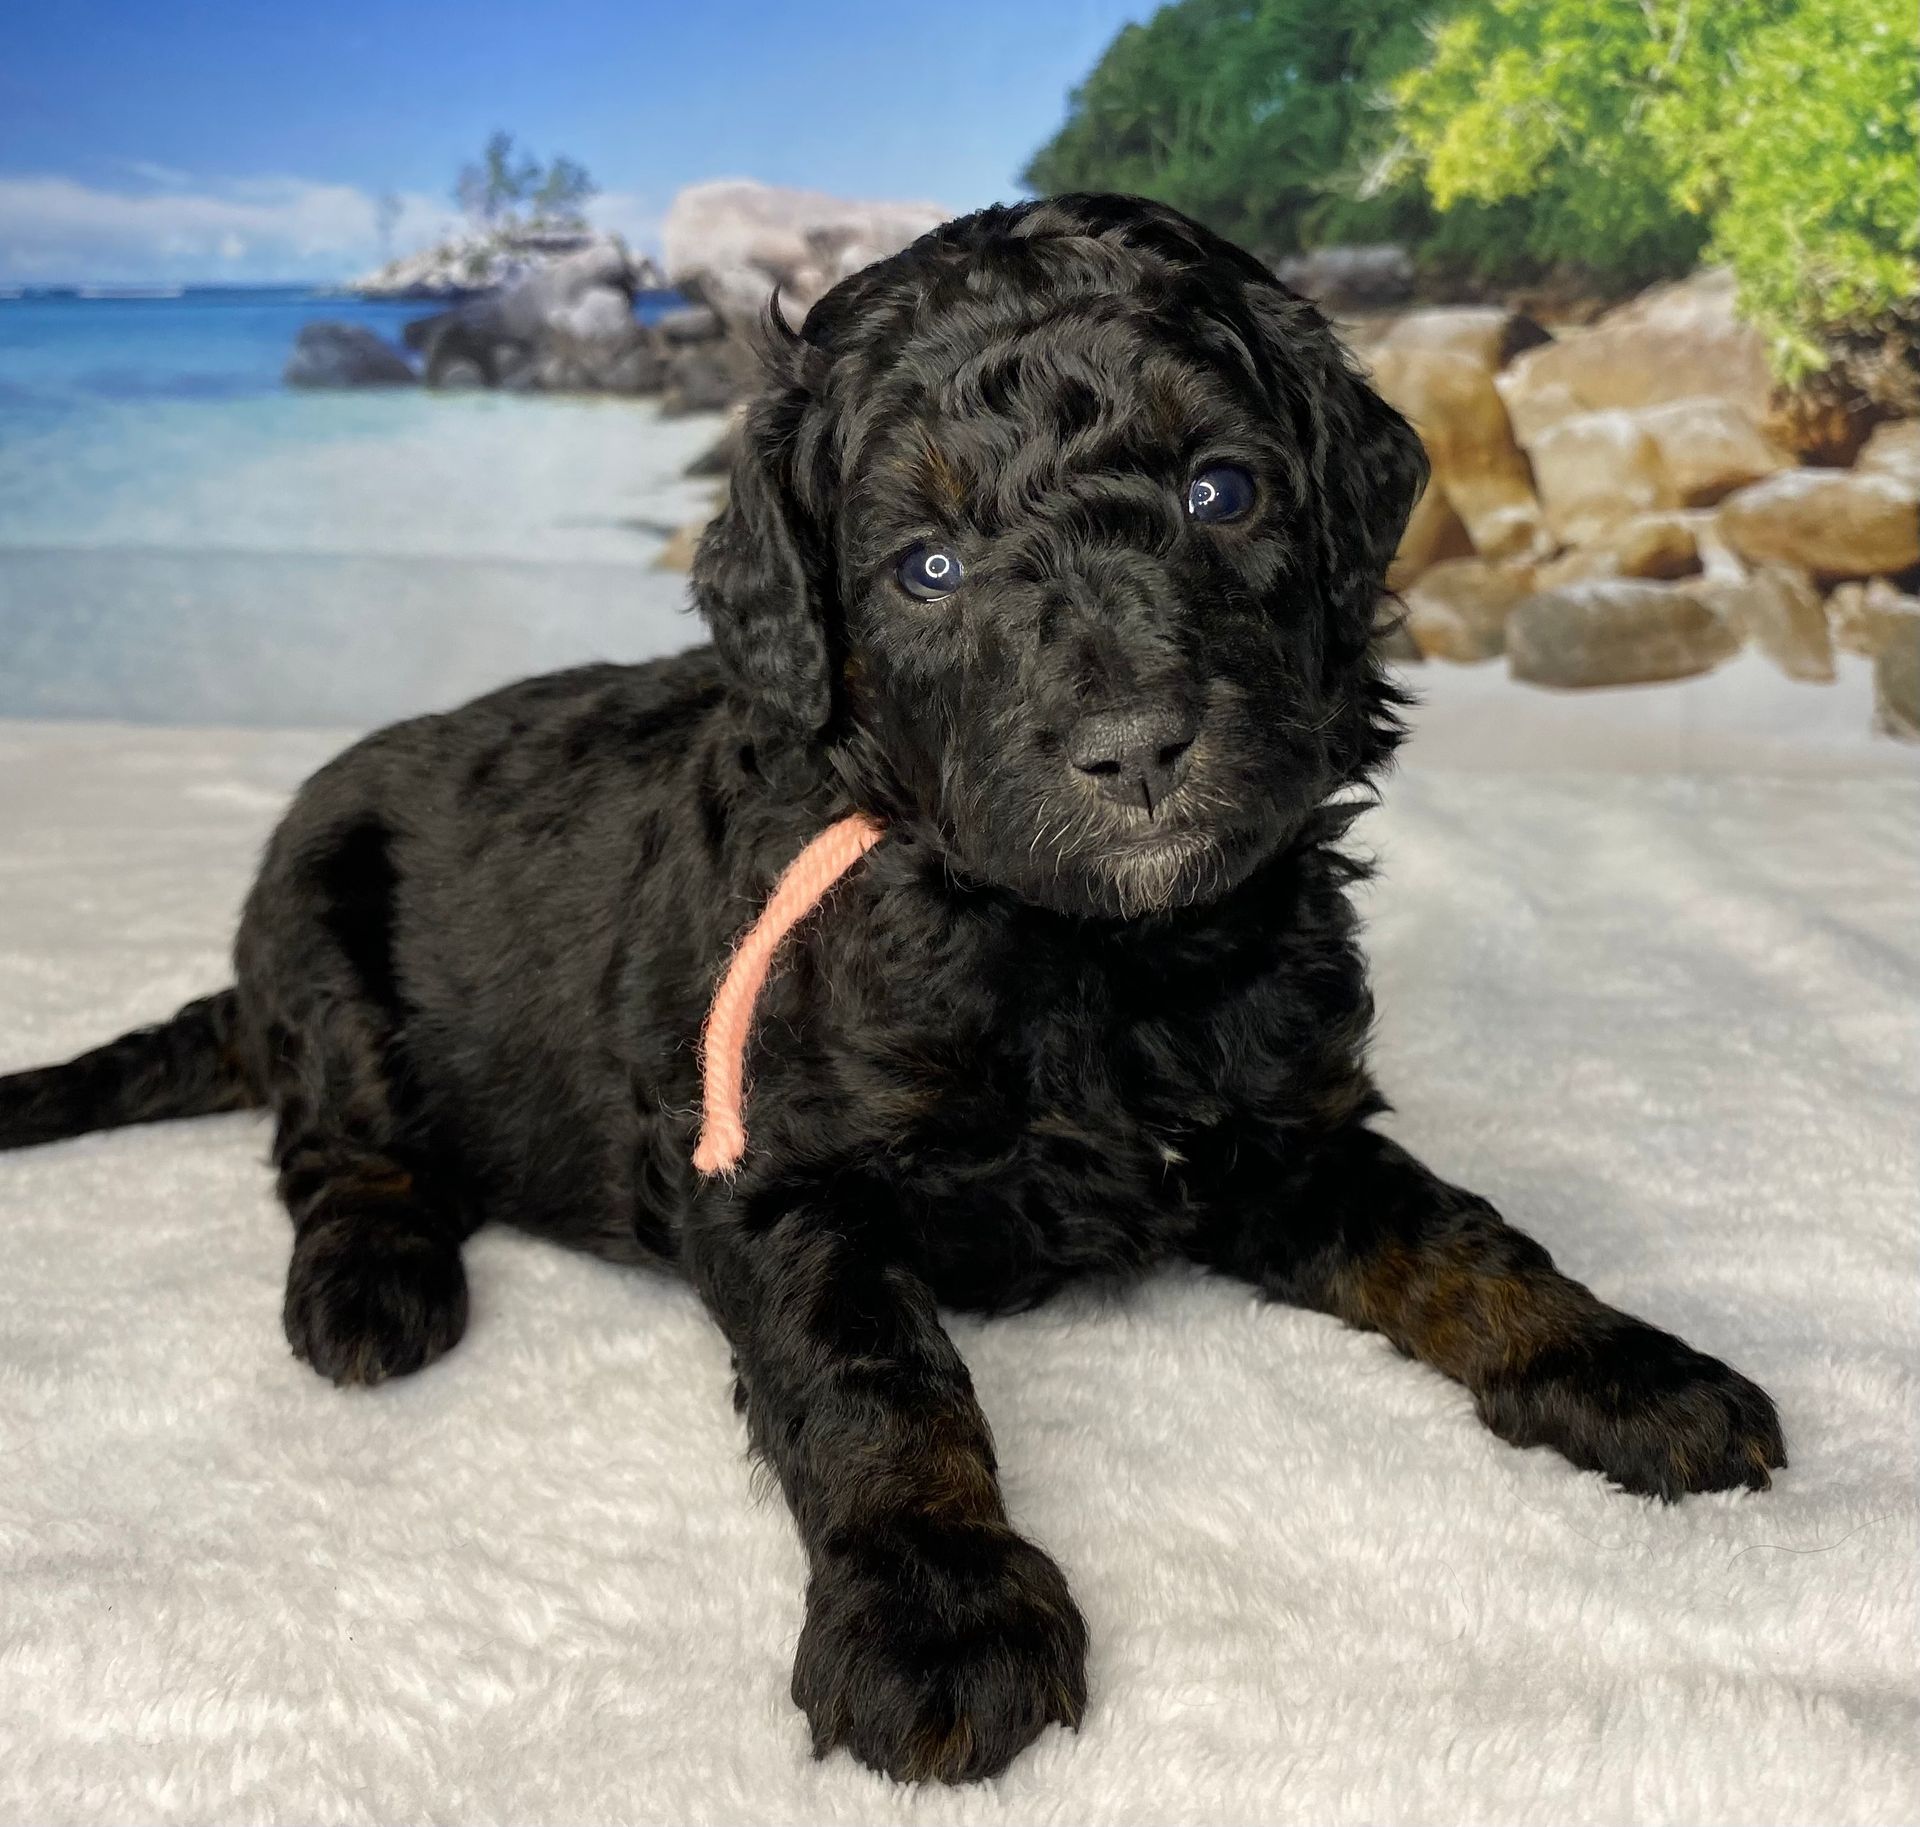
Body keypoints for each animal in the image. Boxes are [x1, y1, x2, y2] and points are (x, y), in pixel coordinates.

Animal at [3, 199, 1781, 1780]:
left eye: (1219, 489)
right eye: (926, 566)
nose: (1134, 746)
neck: (1085, 948)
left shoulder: (1283, 1123)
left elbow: (1464, 1238)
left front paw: (1628, 1365)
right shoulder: (768, 1165)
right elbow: (875, 1374)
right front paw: (936, 1613)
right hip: (323, 943)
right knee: (334, 1141)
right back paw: (373, 1283)